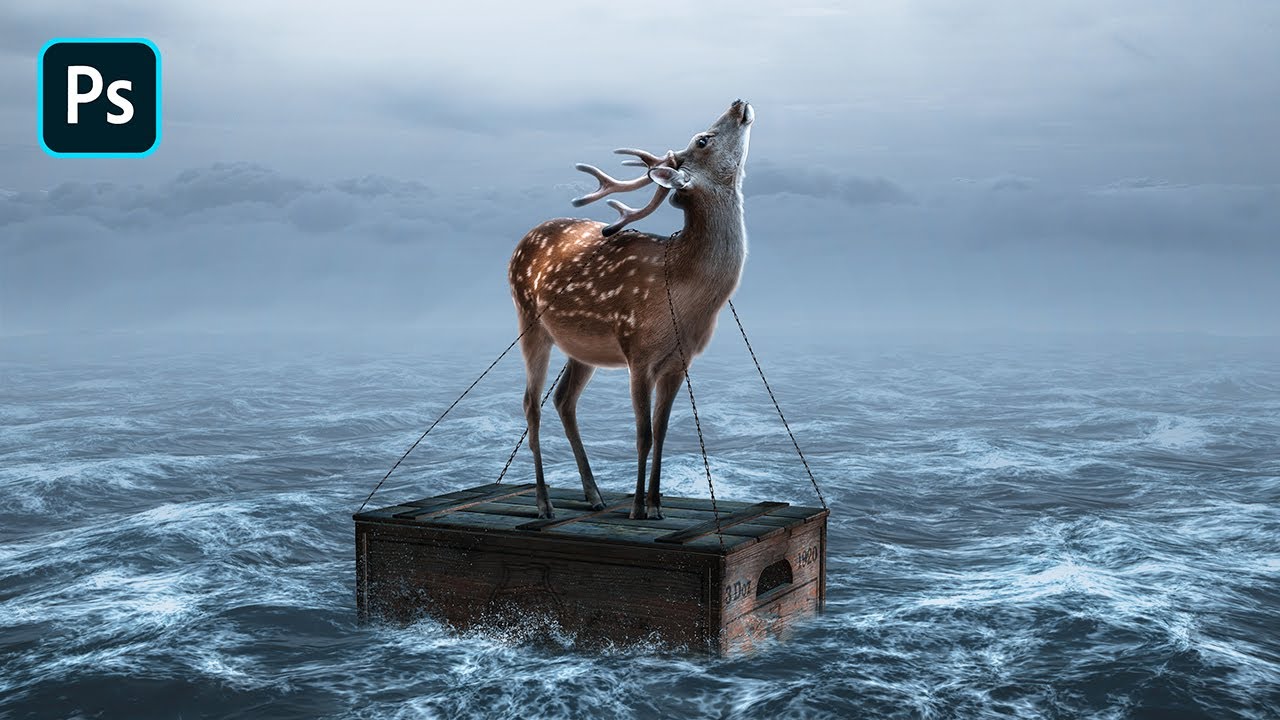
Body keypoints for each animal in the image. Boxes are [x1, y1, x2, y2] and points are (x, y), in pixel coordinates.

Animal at [508, 99, 754, 521]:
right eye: (703, 140)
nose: (739, 103)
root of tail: (520, 243)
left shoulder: (680, 360)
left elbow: (664, 430)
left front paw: (656, 504)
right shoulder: (637, 350)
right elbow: (643, 433)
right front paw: (639, 508)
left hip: (581, 347)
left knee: (563, 399)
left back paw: (594, 495)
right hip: (529, 319)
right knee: (530, 403)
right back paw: (544, 503)